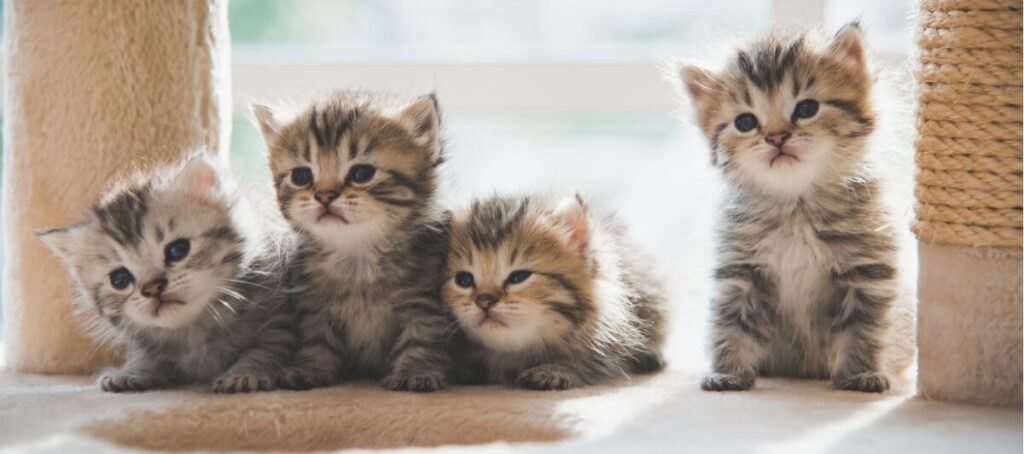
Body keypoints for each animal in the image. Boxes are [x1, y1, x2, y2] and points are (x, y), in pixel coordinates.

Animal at [38, 154, 296, 393]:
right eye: (119, 279)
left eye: (177, 250)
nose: (153, 288)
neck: (194, 328)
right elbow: (146, 356)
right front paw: (131, 372)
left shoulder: (279, 321)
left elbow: (264, 349)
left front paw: (244, 373)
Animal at [251, 90, 452, 393]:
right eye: (301, 176)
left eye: (362, 174)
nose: (324, 196)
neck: (357, 256)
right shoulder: (314, 308)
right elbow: (316, 340)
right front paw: (308, 368)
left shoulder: (423, 303)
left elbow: (421, 338)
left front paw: (415, 371)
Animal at [679, 23, 913, 393]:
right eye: (745, 122)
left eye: (806, 109)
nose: (776, 137)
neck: (795, 206)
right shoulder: (739, 273)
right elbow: (730, 326)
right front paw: (728, 372)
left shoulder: (867, 272)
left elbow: (865, 328)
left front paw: (861, 373)